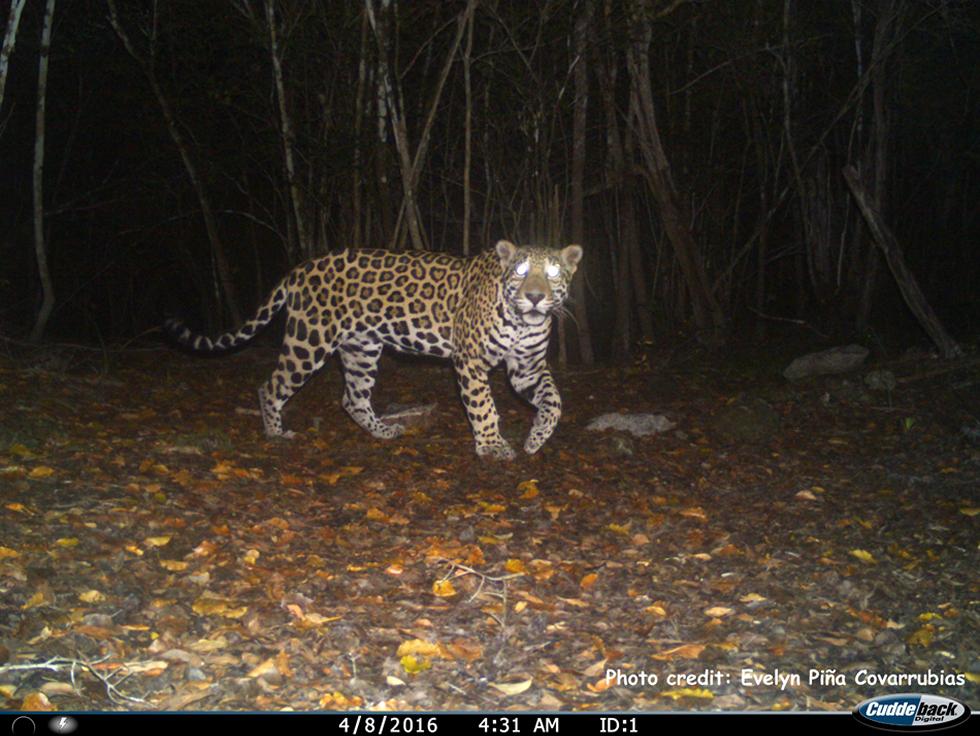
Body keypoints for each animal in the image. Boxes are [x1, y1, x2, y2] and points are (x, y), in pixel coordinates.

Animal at [165, 240, 583, 460]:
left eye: (552, 273)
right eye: (520, 271)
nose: (534, 297)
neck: (523, 321)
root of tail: (300, 268)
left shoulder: (527, 368)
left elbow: (555, 401)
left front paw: (536, 437)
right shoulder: (469, 359)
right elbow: (483, 404)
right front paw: (492, 445)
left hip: (361, 349)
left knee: (352, 398)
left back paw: (383, 431)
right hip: (309, 340)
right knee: (270, 386)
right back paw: (275, 432)